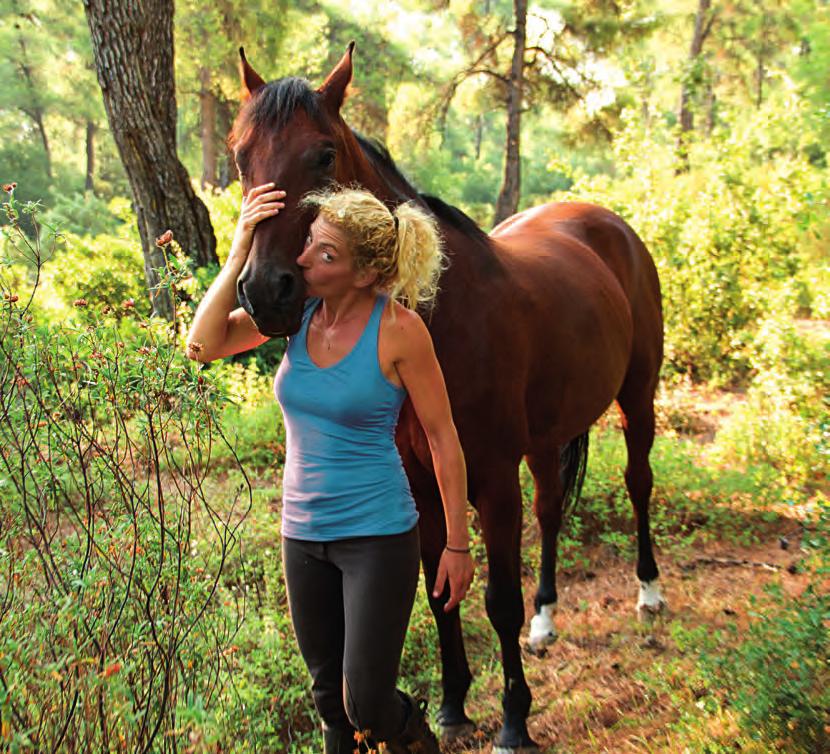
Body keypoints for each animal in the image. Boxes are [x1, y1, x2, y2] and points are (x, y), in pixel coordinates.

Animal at [229, 44, 668, 748]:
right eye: (242, 156)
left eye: (323, 155)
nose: (266, 291)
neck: (441, 314)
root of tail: (605, 223)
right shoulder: (423, 477)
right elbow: (440, 591)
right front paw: (454, 704)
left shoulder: (490, 477)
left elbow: (496, 599)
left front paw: (514, 718)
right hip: (546, 437)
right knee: (551, 510)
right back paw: (547, 622)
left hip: (638, 396)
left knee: (638, 482)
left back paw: (649, 592)